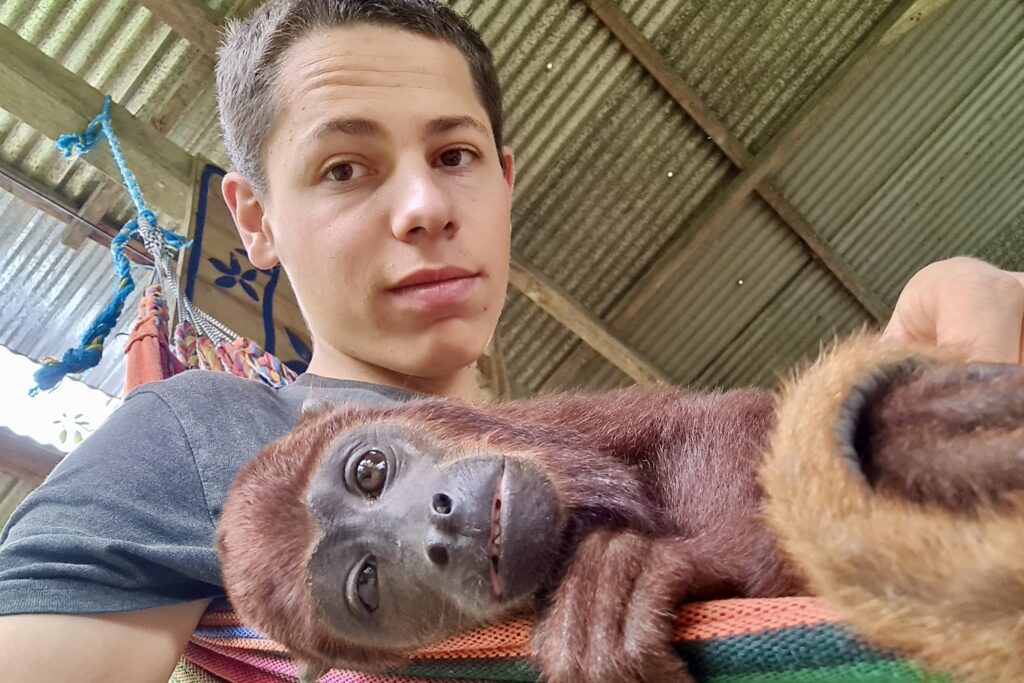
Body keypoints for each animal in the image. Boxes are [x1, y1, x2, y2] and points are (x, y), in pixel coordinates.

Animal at [217, 336, 1024, 683]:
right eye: (366, 585)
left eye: (369, 470)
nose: (441, 521)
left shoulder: (563, 419)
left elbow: (720, 426)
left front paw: (630, 578)